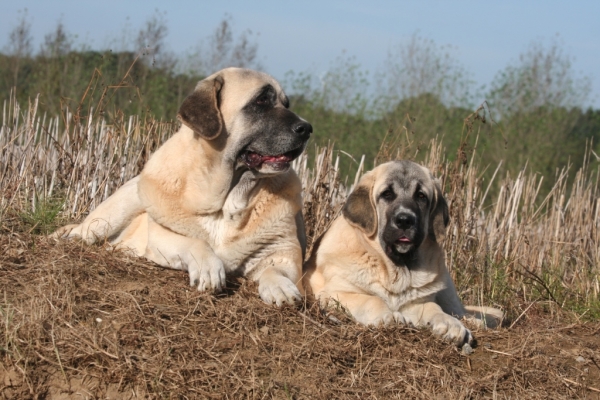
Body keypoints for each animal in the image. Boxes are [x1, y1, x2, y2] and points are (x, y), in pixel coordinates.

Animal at [51, 68, 312, 306]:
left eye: (286, 104)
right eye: (261, 100)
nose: (307, 128)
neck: (227, 200)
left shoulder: (282, 250)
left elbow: (275, 269)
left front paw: (281, 287)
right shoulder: (162, 236)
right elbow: (195, 242)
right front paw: (209, 268)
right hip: (119, 207)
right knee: (84, 230)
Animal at [302, 161, 504, 346]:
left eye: (421, 196)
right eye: (387, 194)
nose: (405, 220)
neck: (396, 271)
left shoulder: (416, 303)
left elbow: (433, 307)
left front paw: (451, 324)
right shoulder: (334, 294)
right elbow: (372, 300)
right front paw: (389, 316)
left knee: (459, 310)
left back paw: (473, 321)